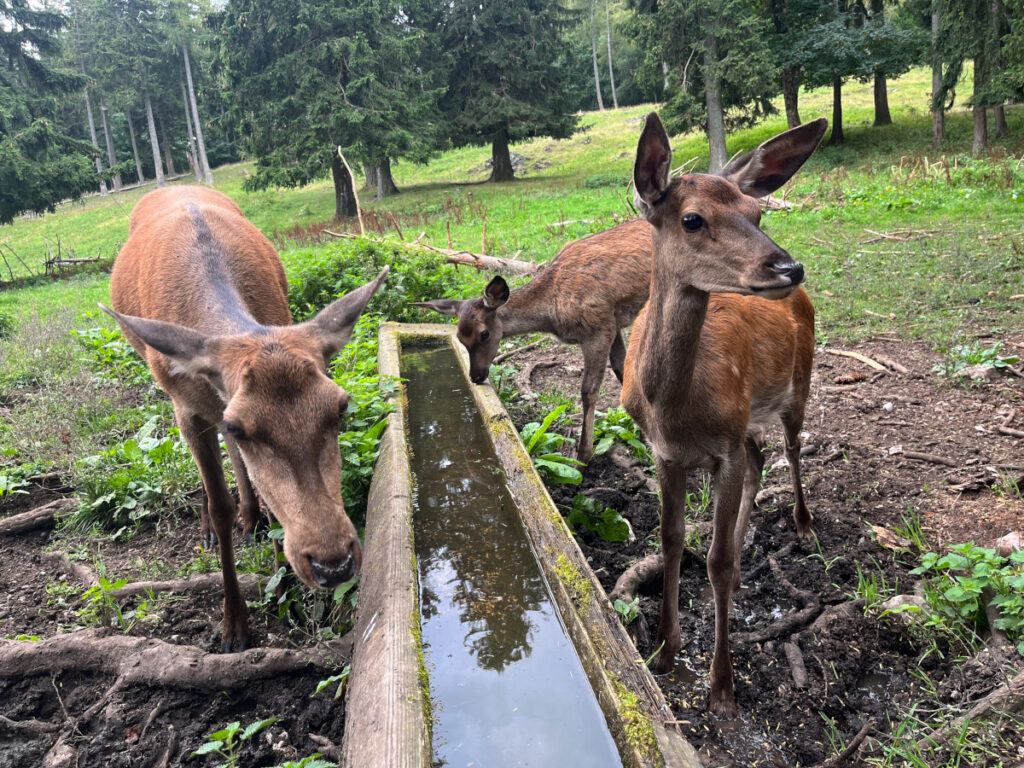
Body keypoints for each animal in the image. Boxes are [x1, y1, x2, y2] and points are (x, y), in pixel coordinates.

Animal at [101, 185, 387, 651]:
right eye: (242, 425)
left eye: (341, 406)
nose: (333, 564)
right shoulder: (187, 406)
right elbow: (220, 503)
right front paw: (234, 625)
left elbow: (269, 502)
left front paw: (283, 587)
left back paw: (250, 517)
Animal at [407, 219, 647, 466]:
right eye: (459, 338)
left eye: (484, 334)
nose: (475, 377)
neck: (552, 315)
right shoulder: (613, 325)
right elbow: (621, 370)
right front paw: (642, 437)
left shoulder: (597, 329)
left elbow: (588, 390)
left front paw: (582, 456)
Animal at [618, 111, 827, 720]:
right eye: (692, 219)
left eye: (757, 212)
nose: (788, 267)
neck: (674, 410)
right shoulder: (665, 453)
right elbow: (670, 540)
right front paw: (665, 650)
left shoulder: (724, 447)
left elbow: (713, 560)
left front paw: (723, 686)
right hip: (747, 423)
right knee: (761, 460)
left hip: (800, 379)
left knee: (791, 447)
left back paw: (803, 525)